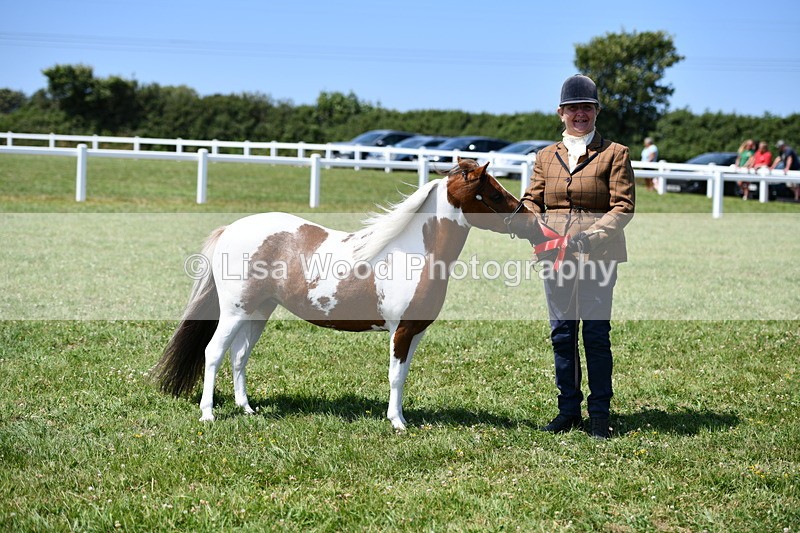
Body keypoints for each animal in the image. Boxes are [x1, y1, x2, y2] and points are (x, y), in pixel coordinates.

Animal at [153, 157, 543, 429]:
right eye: (494, 194)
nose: (532, 222)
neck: (413, 253)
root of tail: (230, 229)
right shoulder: (400, 331)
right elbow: (394, 375)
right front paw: (397, 423)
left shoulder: (415, 331)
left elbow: (403, 376)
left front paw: (401, 417)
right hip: (234, 311)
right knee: (214, 353)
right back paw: (208, 415)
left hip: (258, 312)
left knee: (239, 357)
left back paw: (247, 409)